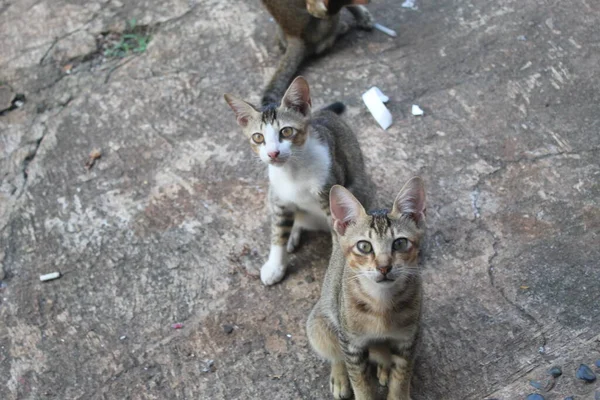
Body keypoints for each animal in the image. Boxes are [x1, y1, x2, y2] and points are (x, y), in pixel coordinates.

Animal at [225, 76, 376, 286]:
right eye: (258, 137)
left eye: (286, 132)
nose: (273, 153)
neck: (293, 171)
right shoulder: (280, 199)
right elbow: (278, 232)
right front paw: (275, 266)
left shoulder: (332, 199)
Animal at [304, 179, 426, 400]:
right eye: (364, 246)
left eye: (400, 243)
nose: (384, 267)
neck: (381, 301)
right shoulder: (351, 343)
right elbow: (360, 381)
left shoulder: (408, 339)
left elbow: (401, 377)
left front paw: (398, 393)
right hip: (319, 327)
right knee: (336, 353)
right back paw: (339, 377)